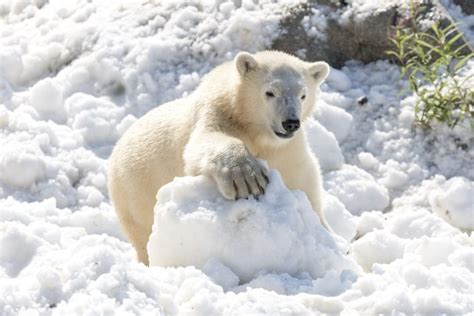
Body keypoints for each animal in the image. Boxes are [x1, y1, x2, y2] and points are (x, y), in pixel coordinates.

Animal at [108, 51, 330, 264]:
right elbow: (204, 142)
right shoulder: (218, 113)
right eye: (270, 92)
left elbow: (303, 177)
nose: (290, 122)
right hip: (134, 190)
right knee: (142, 231)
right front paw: (246, 179)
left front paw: (324, 230)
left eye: (303, 95)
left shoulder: (287, 148)